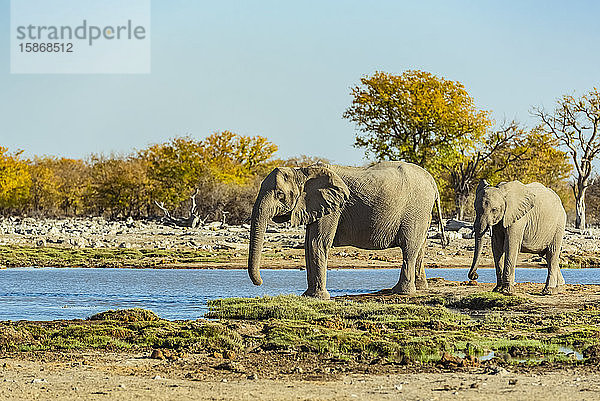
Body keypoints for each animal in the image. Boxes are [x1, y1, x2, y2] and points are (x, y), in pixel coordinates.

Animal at [246, 160, 448, 296]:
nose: (260, 283)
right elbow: (308, 245)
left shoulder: (333, 207)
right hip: (422, 212)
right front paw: (308, 296)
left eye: (280, 194)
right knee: (420, 247)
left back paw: (400, 291)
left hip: (416, 210)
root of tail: (432, 181)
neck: (303, 172)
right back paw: (420, 288)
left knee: (409, 248)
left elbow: (317, 243)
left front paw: (319, 297)